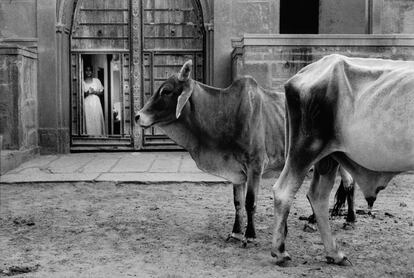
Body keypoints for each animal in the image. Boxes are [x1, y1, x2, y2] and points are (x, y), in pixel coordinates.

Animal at [136, 60, 356, 245]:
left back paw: (349, 220)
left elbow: (250, 202)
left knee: (347, 184)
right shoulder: (236, 171)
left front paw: (250, 235)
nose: (138, 116)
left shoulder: (255, 166)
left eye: (166, 91)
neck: (228, 111)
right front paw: (235, 232)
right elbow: (237, 203)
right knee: (338, 185)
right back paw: (316, 221)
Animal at [272, 53, 414, 264]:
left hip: (329, 156)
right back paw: (280, 251)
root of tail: (303, 73)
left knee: (319, 195)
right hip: (305, 148)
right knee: (284, 191)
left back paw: (334, 253)